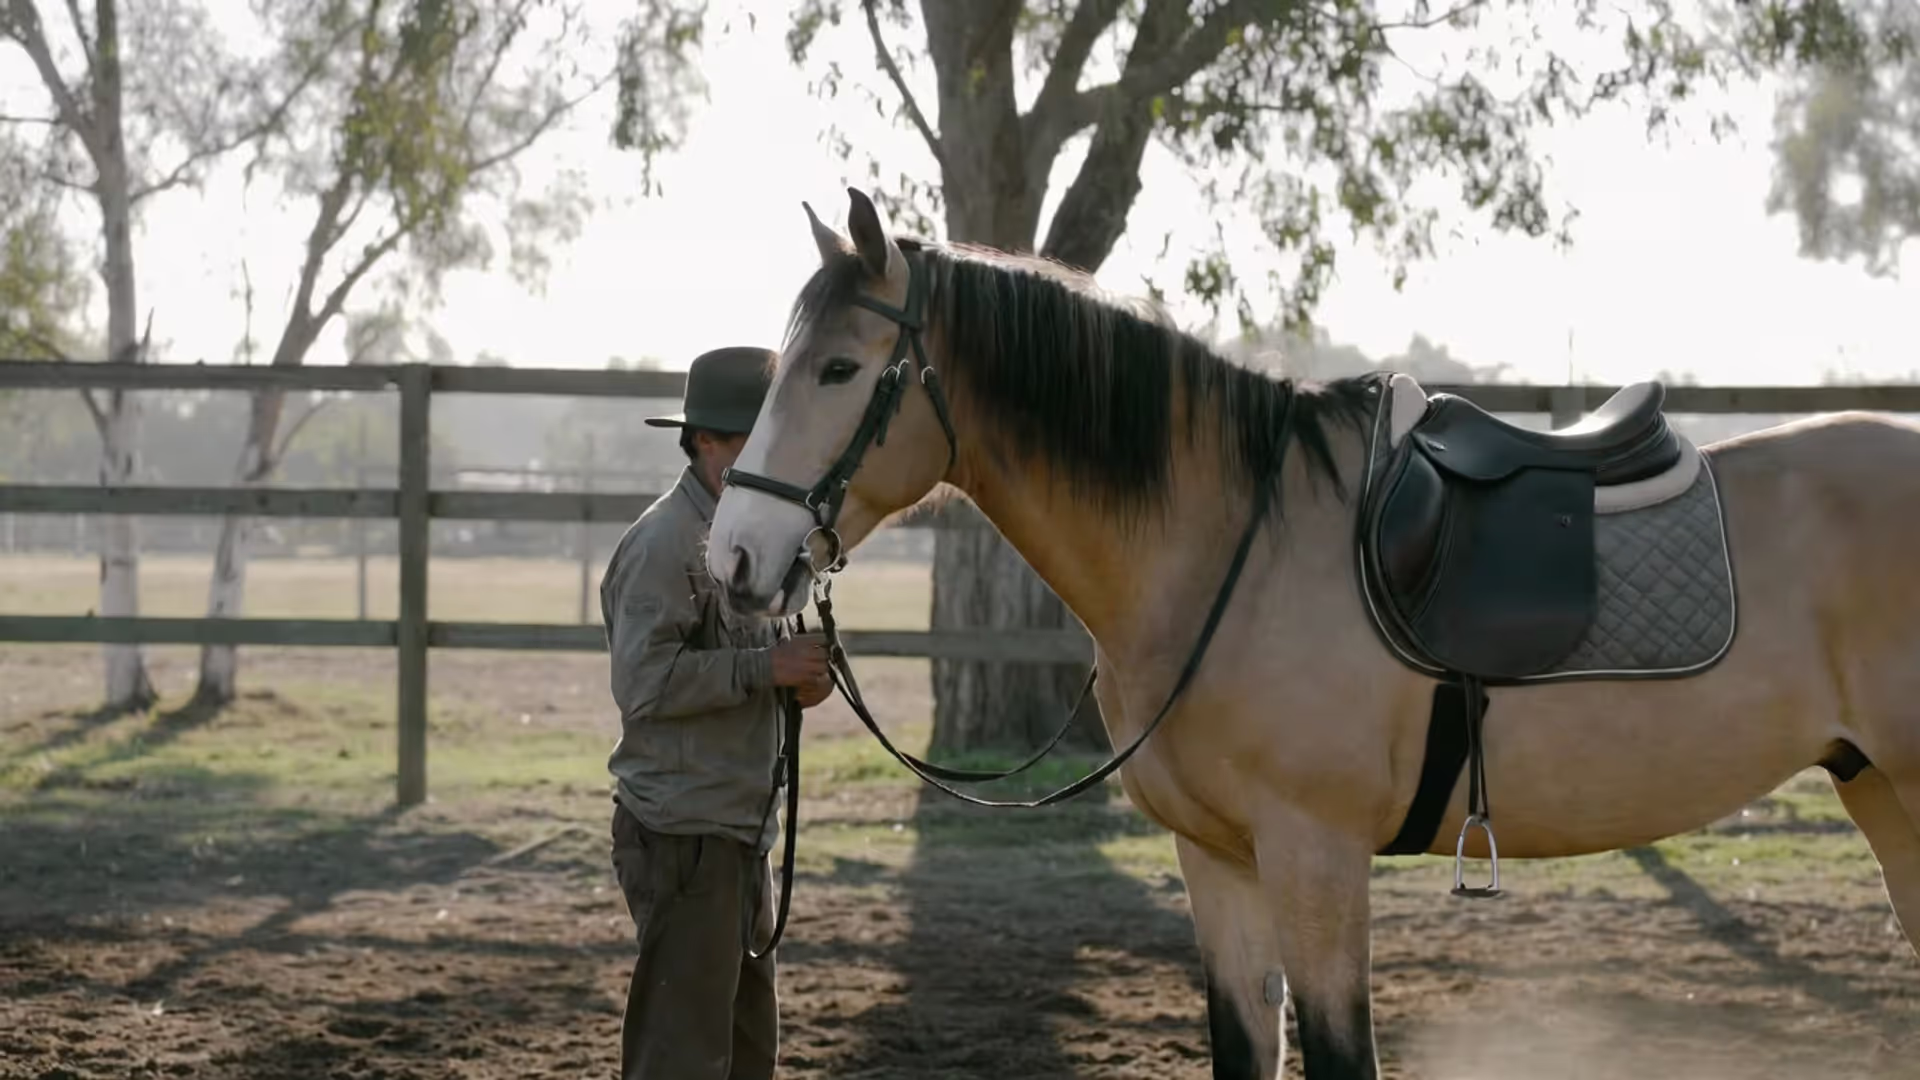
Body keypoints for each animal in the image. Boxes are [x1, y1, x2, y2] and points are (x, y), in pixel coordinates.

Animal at [704, 186, 1920, 1079]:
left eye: (840, 368)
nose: (735, 561)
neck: (1229, 546)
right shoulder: (1220, 861)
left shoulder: (1314, 854)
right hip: (1877, 791)